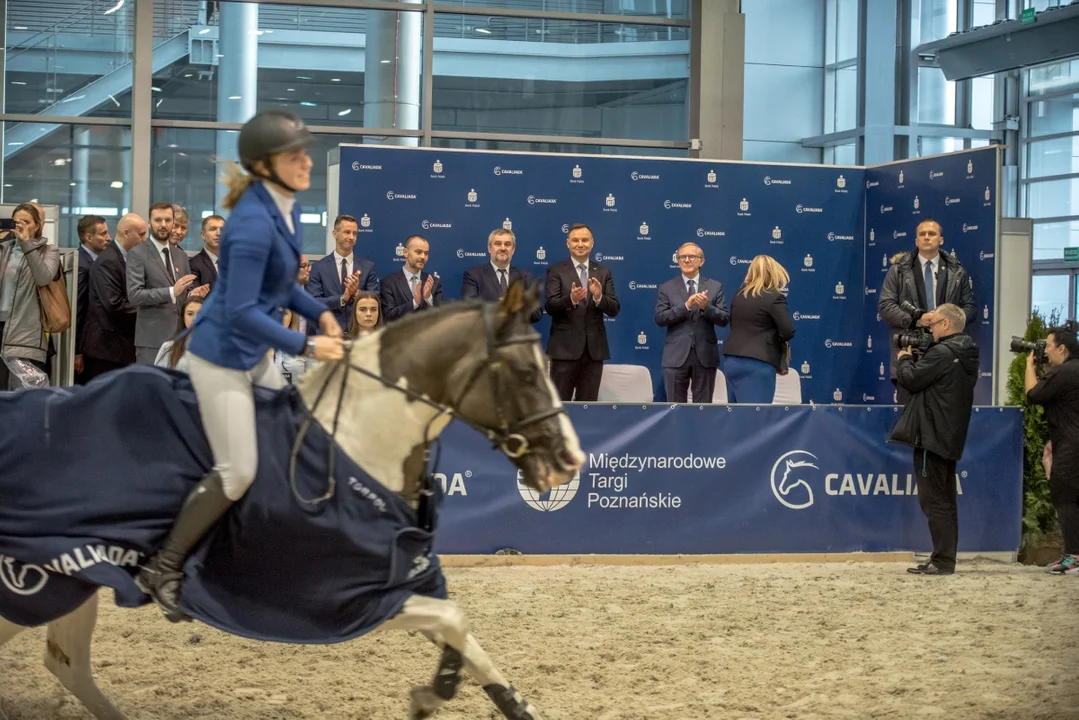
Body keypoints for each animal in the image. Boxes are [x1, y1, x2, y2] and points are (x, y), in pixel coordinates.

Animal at [0, 280, 582, 720]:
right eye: (526, 373)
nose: (570, 457)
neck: (361, 441)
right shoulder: (345, 598)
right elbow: (453, 621)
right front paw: (429, 696)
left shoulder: (403, 580)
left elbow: (464, 637)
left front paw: (472, 697)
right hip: (43, 578)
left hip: (77, 581)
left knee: (67, 664)